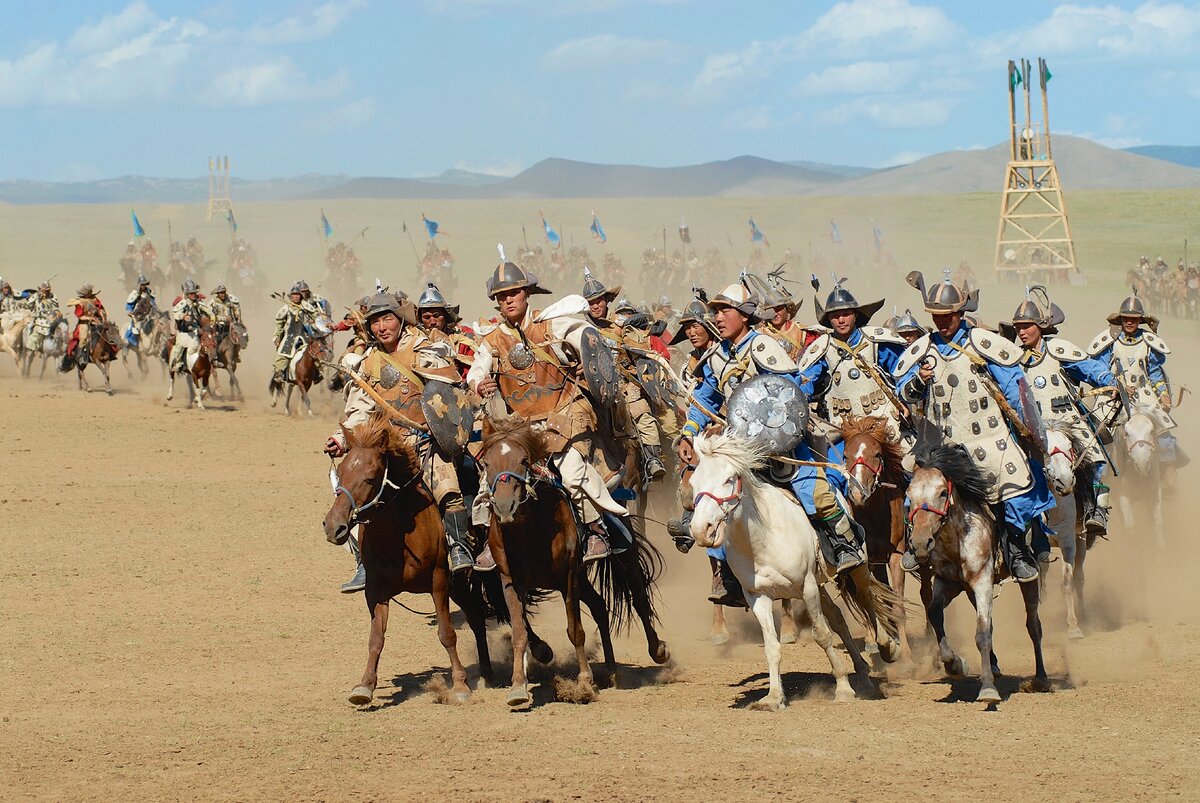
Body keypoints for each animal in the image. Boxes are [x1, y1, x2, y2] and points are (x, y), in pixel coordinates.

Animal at [321, 412, 504, 700]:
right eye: (341, 473)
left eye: (370, 477)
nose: (333, 526)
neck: (399, 536)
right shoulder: (376, 589)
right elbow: (376, 638)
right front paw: (365, 685)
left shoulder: (439, 581)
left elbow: (447, 634)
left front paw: (460, 686)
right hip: (459, 585)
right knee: (475, 616)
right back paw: (486, 671)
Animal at [472, 417, 672, 705]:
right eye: (487, 463)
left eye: (523, 460)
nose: (504, 505)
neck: (530, 531)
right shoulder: (510, 581)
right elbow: (520, 632)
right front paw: (518, 687)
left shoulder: (567, 577)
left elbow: (575, 630)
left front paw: (584, 681)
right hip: (580, 576)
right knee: (600, 606)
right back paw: (612, 671)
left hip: (622, 557)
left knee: (638, 598)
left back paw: (657, 650)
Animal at [686, 432, 902, 705]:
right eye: (694, 481)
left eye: (728, 479)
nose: (700, 529)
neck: (762, 538)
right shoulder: (758, 597)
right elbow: (772, 646)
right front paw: (773, 697)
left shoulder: (807, 587)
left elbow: (822, 635)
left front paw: (842, 687)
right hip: (819, 585)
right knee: (838, 619)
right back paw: (863, 677)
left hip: (857, 568)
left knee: (867, 600)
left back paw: (886, 646)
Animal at [840, 412, 931, 662]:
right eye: (845, 455)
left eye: (877, 454)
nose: (858, 493)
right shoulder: (869, 559)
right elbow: (873, 598)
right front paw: (877, 643)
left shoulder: (896, 556)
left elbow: (898, 606)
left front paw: (907, 654)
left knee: (927, 594)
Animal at [907, 432, 1051, 700]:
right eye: (909, 496)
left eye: (942, 493)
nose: (920, 543)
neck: (957, 540)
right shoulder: (947, 582)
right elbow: (935, 613)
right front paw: (954, 664)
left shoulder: (983, 581)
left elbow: (982, 632)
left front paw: (987, 689)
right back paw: (993, 666)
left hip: (1029, 578)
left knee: (1033, 625)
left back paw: (1041, 679)